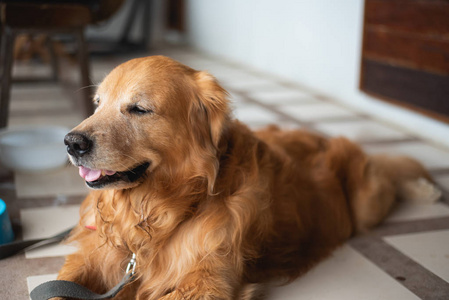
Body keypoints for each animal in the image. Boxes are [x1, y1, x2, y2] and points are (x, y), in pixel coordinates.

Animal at [58, 55, 438, 298]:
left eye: (139, 109)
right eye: (97, 103)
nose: (72, 142)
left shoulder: (207, 280)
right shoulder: (95, 257)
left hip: (366, 203)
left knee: (388, 173)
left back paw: (424, 187)